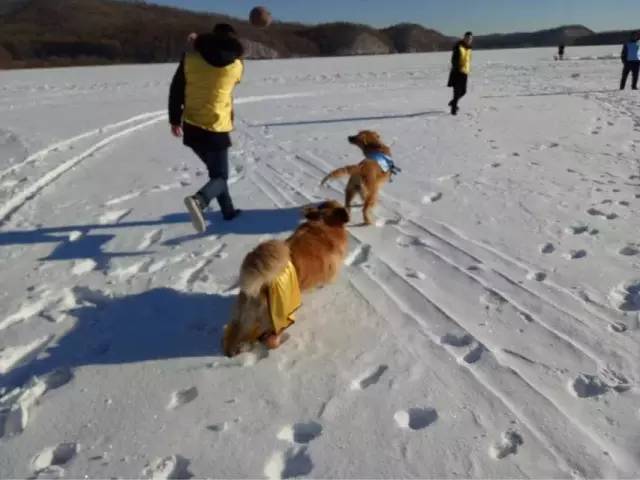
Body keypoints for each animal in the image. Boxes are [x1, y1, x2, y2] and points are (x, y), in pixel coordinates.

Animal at [221, 200, 350, 356]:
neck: (323, 222)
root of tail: (261, 285)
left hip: (243, 317)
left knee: (233, 334)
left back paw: (235, 350)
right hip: (277, 318)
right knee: (270, 339)